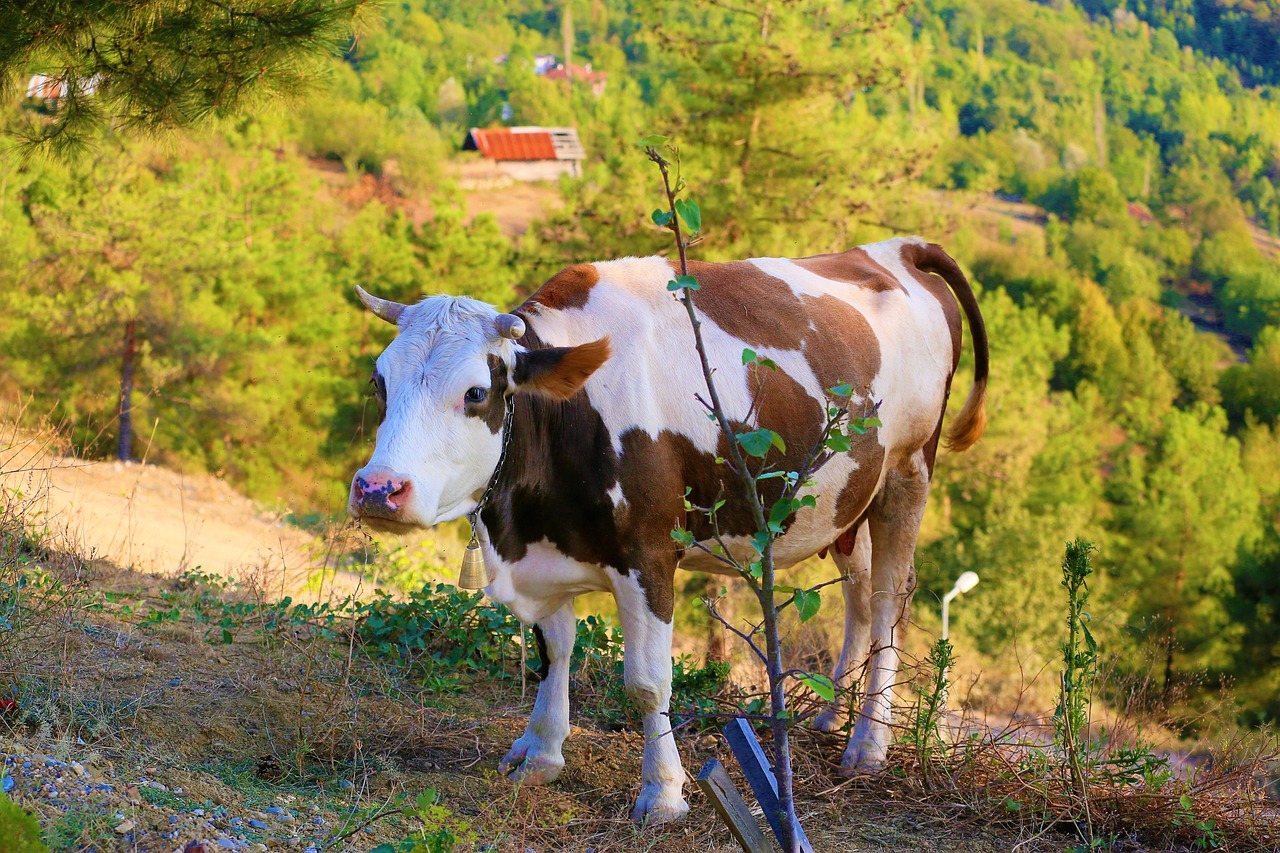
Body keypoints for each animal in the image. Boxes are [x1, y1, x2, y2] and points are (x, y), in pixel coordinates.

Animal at [348, 235, 988, 819]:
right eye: (379, 383)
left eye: (477, 392)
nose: (378, 489)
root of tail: (894, 248)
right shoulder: (548, 548)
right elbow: (555, 649)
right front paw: (542, 753)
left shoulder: (649, 554)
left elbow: (648, 680)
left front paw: (663, 794)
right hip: (843, 498)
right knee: (856, 591)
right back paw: (832, 716)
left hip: (907, 471)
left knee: (886, 599)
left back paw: (868, 744)